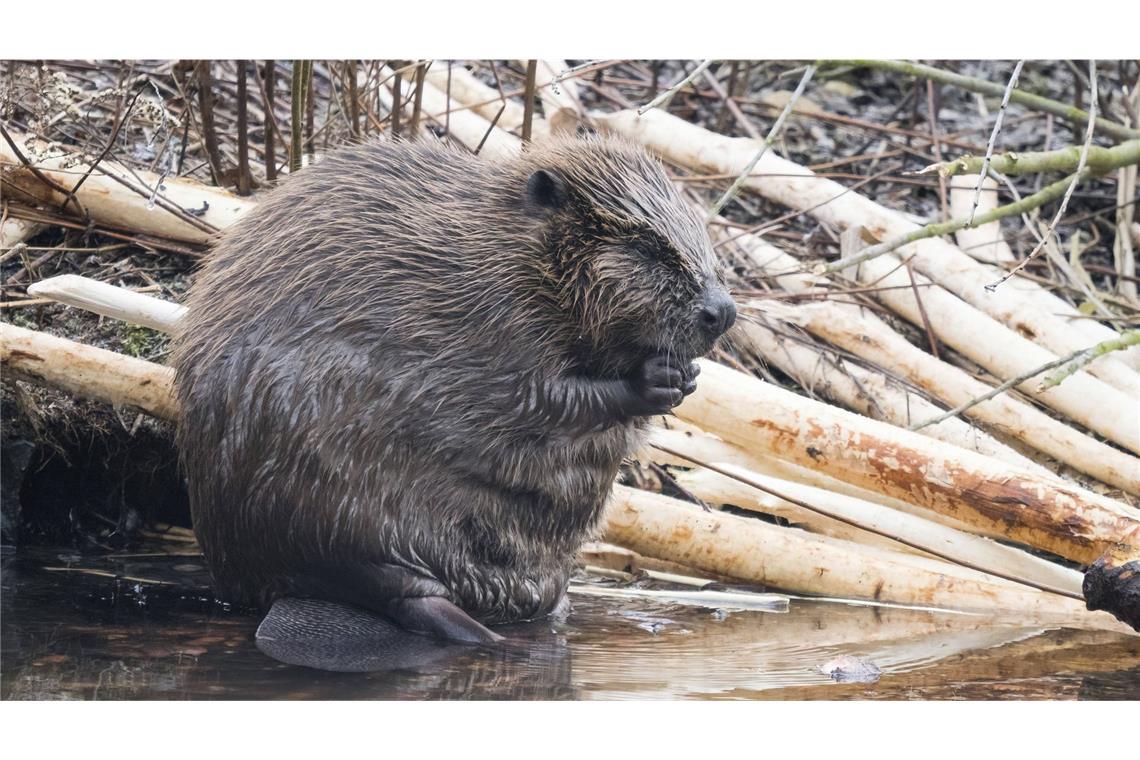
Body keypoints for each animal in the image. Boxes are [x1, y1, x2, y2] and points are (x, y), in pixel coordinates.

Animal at [173, 132, 734, 660]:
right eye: (645, 247)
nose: (722, 311)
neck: (511, 253)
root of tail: (266, 594)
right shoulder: (498, 315)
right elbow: (538, 395)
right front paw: (653, 380)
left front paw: (685, 377)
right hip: (326, 502)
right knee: (388, 586)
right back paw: (485, 633)